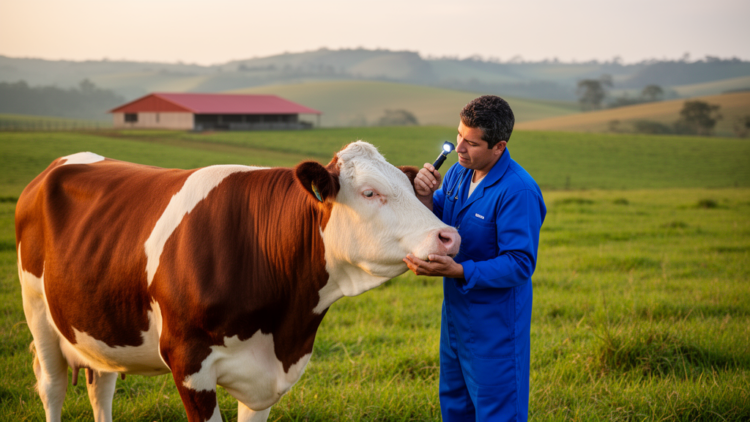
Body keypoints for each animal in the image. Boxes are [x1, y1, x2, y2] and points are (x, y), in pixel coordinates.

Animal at [15, 141, 460, 422]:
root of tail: (58, 165)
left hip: (98, 319)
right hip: (37, 309)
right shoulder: (188, 363)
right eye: (369, 193)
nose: (448, 236)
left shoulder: (265, 378)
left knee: (101, 385)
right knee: (52, 385)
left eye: (411, 190)